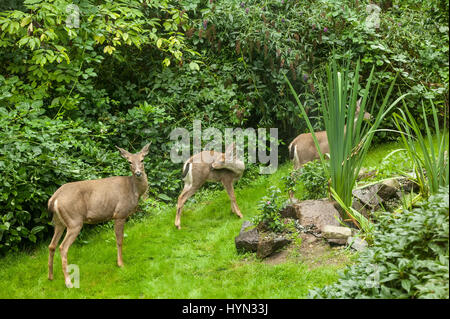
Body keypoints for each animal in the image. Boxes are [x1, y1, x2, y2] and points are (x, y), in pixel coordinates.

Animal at [47, 144, 150, 288]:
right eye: (129, 161)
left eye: (142, 159)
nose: (138, 173)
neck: (134, 190)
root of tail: (54, 199)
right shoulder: (120, 214)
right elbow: (119, 240)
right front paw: (121, 264)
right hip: (74, 220)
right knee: (63, 247)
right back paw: (68, 282)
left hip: (59, 222)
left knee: (52, 245)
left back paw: (50, 277)